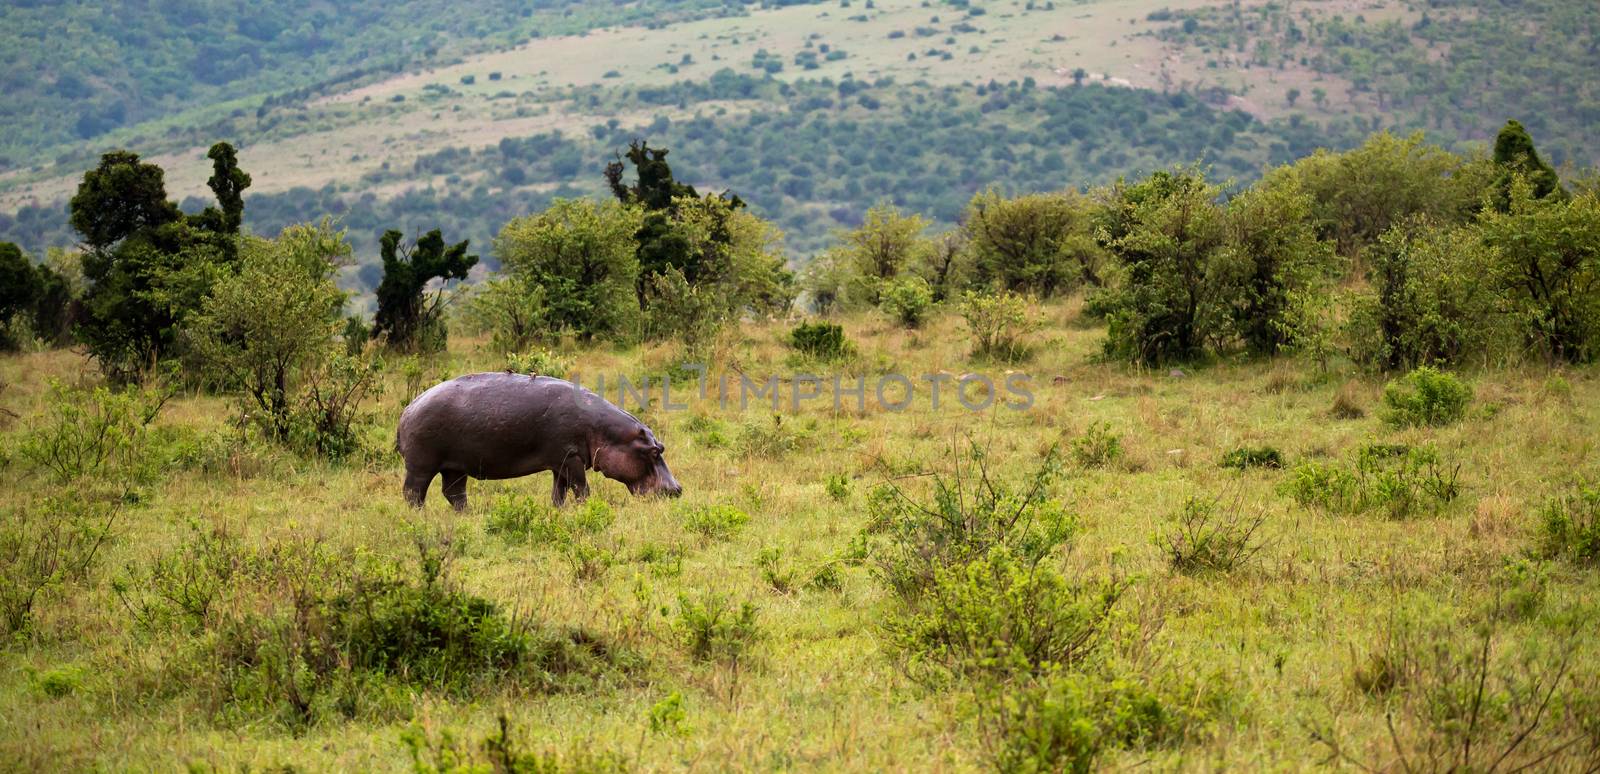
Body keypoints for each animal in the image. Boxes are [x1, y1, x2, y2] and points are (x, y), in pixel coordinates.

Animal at [398, 372, 681, 511]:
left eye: (662, 447)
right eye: (654, 452)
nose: (677, 489)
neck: (605, 432)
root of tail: (408, 408)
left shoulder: (561, 462)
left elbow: (559, 492)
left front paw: (557, 512)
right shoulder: (572, 458)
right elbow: (582, 488)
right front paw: (587, 508)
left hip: (455, 467)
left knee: (454, 493)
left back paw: (467, 514)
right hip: (421, 465)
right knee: (413, 493)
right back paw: (419, 517)